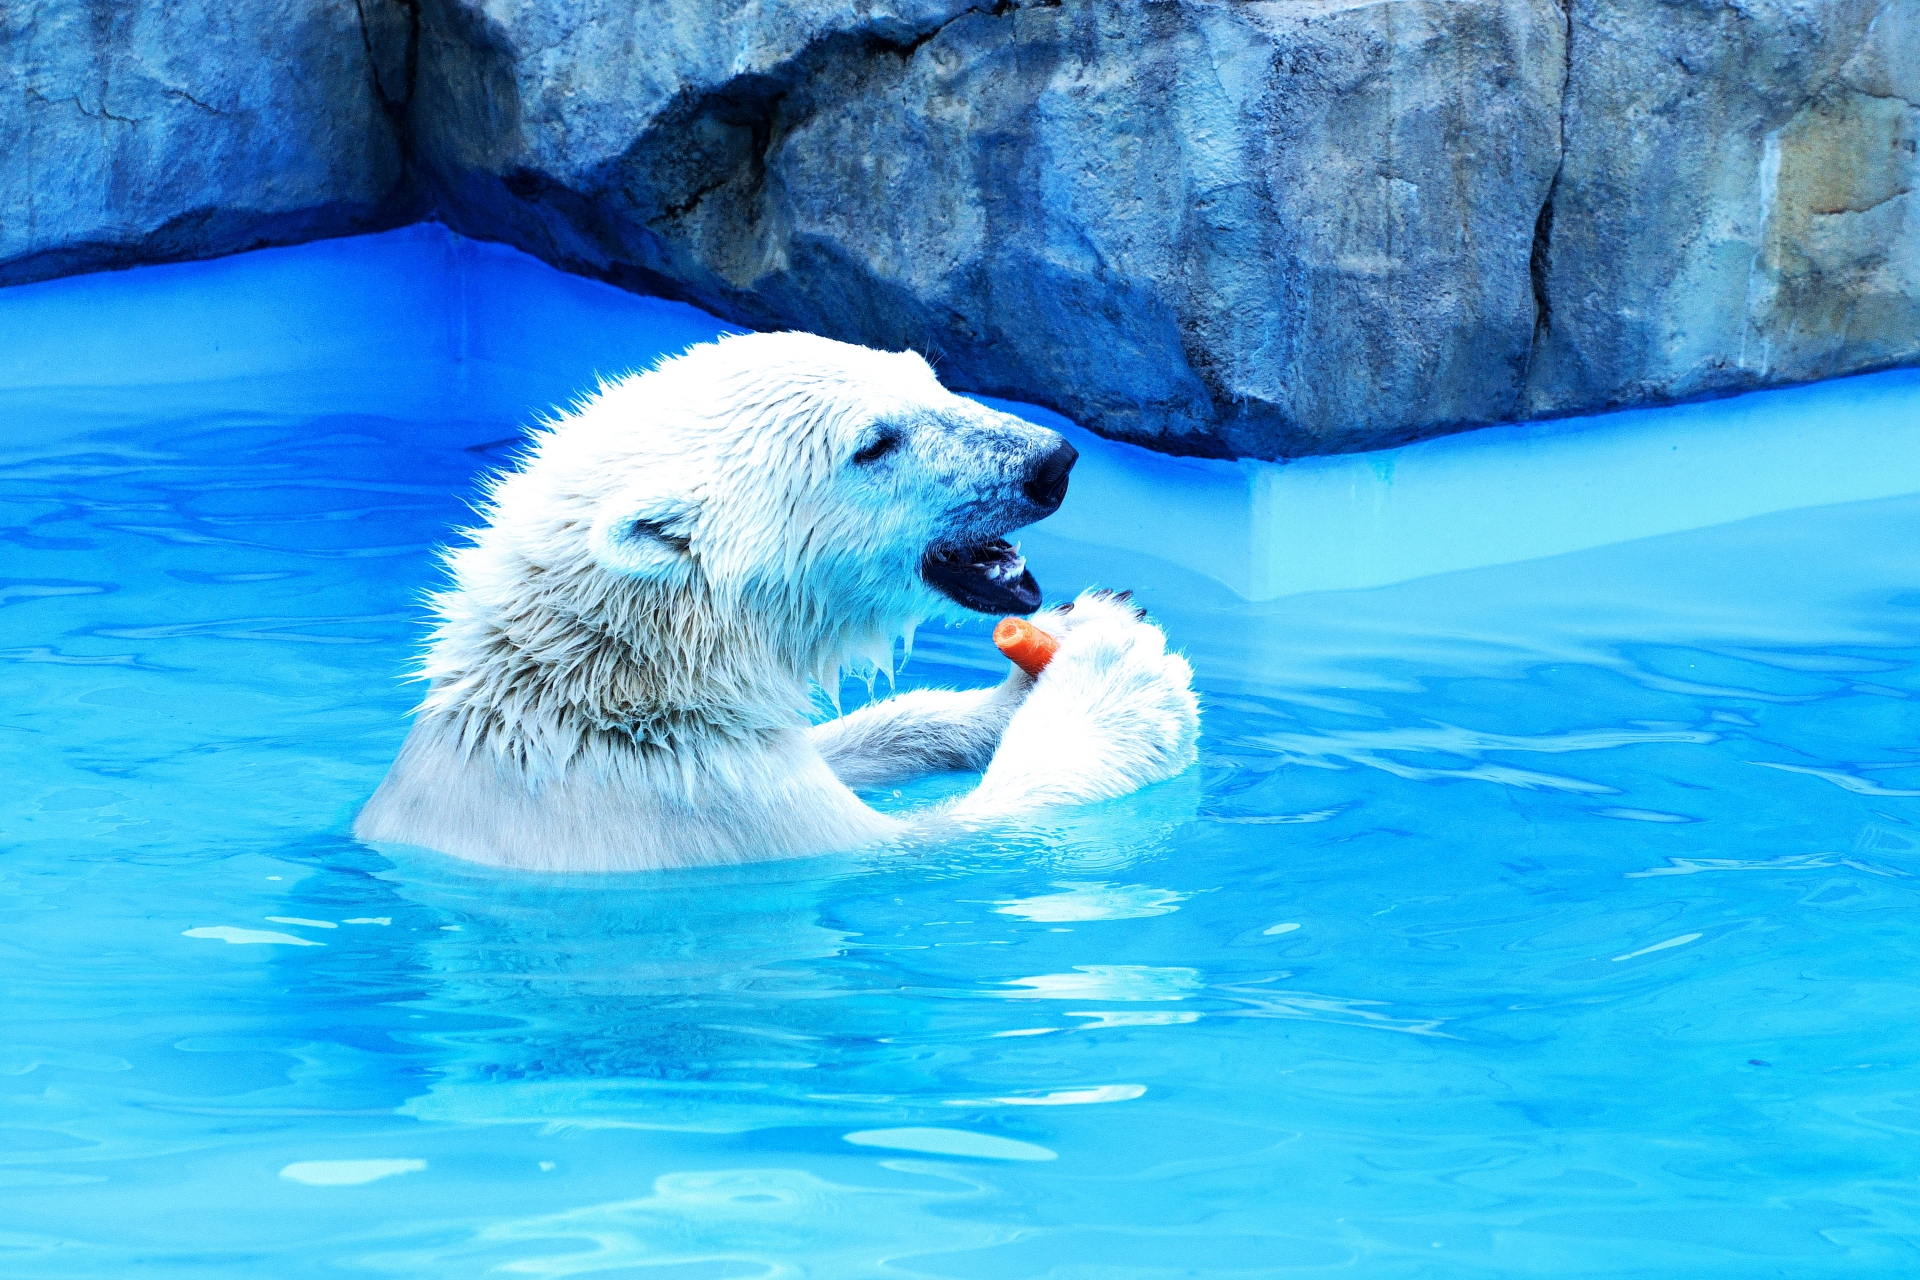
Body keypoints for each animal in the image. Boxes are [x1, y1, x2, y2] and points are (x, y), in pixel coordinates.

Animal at [357, 333, 1198, 871]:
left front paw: (1027, 672)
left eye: (927, 376)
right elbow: (958, 833)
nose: (1051, 461)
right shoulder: (713, 818)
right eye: (874, 444)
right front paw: (1121, 677)